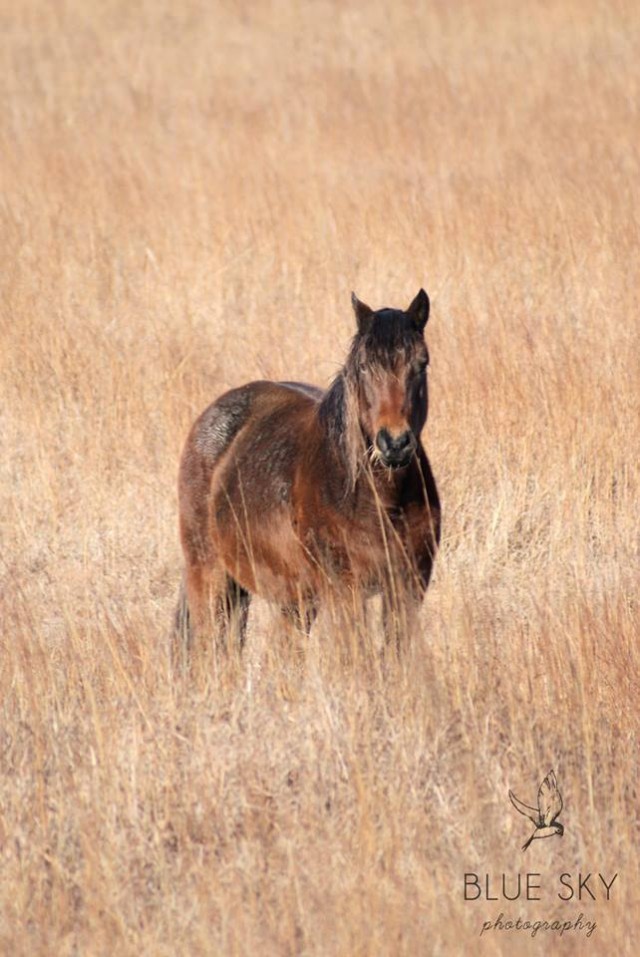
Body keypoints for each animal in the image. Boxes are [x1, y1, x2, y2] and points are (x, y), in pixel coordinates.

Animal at [174, 288, 440, 669]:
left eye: (421, 364)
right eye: (363, 366)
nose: (395, 443)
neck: (376, 499)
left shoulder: (408, 586)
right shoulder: (346, 590)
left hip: (293, 599)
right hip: (210, 575)